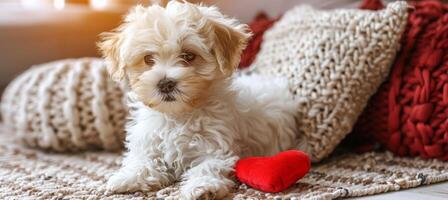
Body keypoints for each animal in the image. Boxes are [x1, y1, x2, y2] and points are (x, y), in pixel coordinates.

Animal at [98, 1, 300, 198]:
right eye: (148, 59)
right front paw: (126, 178)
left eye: (188, 56)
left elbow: (208, 165)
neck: (178, 114)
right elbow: (142, 160)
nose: (165, 84)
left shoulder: (217, 146)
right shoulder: (149, 140)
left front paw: (203, 187)